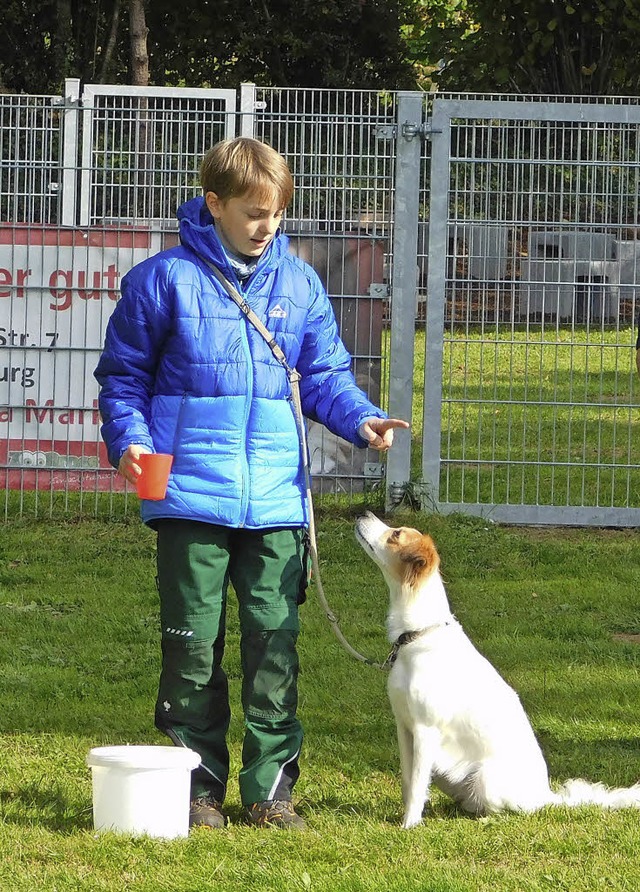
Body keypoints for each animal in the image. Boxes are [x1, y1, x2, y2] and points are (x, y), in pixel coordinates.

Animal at [352, 512, 640, 832]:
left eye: (396, 534)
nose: (363, 514)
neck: (417, 636)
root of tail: (545, 795)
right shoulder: (404, 727)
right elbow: (408, 781)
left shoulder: (426, 731)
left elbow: (416, 785)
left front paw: (409, 826)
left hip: (485, 778)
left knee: (510, 810)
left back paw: (486, 820)